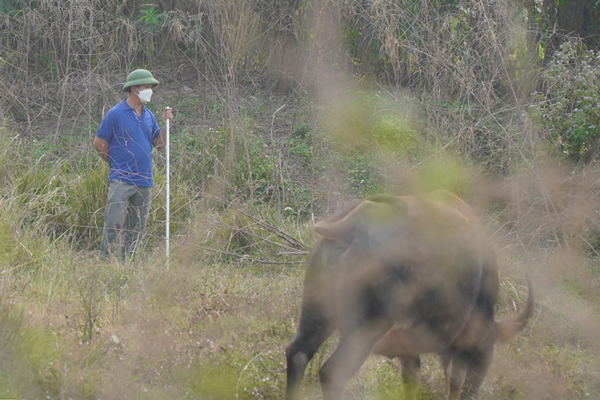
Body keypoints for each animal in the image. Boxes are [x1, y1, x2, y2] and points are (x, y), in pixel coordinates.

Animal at [286, 191, 536, 400]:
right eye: (485, 355)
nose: (473, 392)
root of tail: (350, 225)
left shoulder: (407, 346)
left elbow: (411, 378)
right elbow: (454, 380)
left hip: (316, 313)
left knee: (297, 354)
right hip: (365, 330)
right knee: (332, 372)